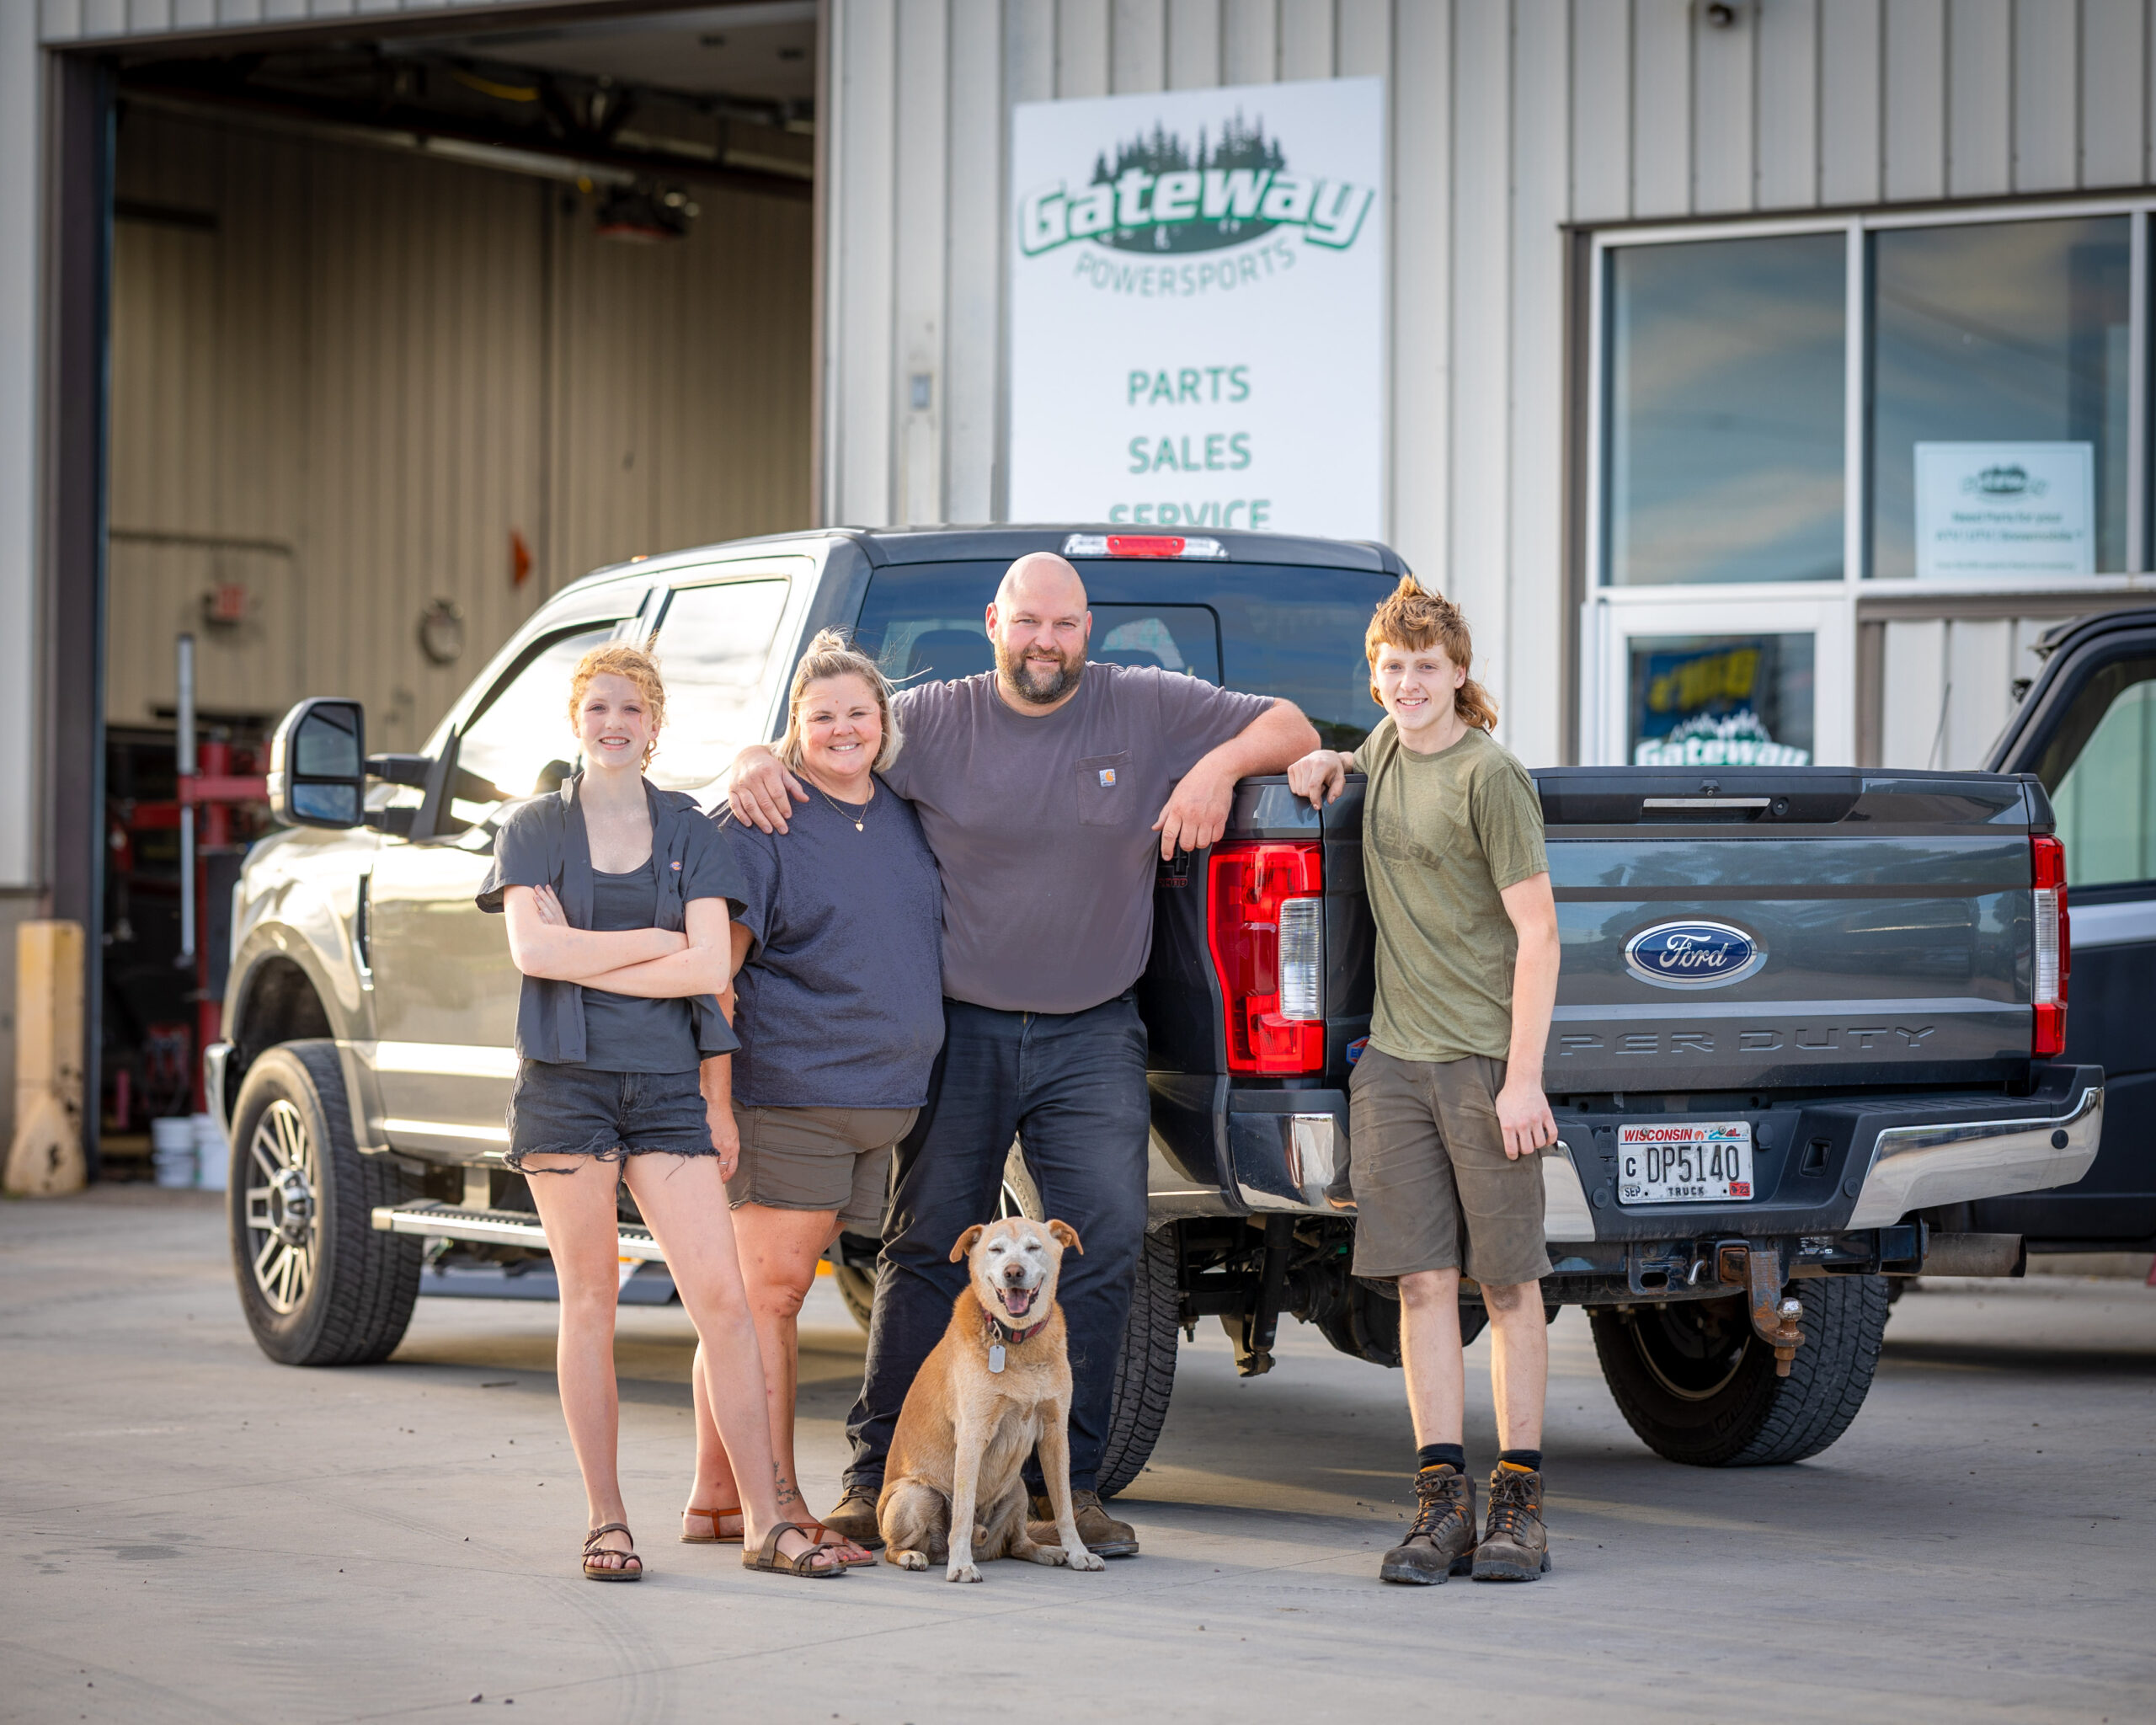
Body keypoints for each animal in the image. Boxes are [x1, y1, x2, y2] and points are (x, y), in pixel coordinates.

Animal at [879, 1215, 1112, 1578]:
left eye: (1033, 1247)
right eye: (996, 1250)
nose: (1013, 1272)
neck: (1018, 1340)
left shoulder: (1055, 1433)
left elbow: (1064, 1507)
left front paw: (1078, 1553)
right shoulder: (972, 1434)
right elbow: (962, 1513)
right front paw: (962, 1566)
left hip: (1017, 1488)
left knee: (1017, 1543)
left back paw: (1046, 1552)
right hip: (916, 1494)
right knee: (895, 1547)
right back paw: (913, 1556)